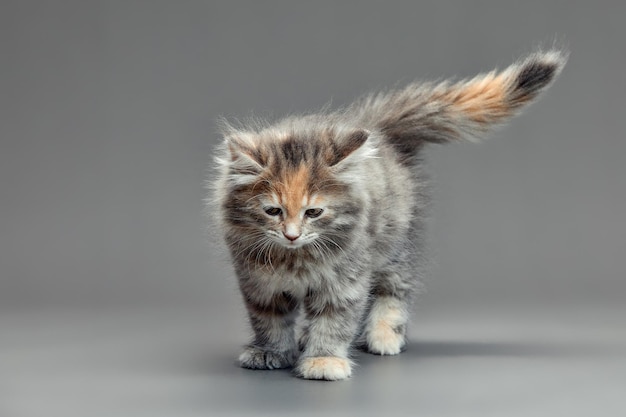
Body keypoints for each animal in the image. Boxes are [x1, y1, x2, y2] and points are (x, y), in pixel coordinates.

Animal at [210, 49, 564, 380]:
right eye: (273, 211)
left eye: (313, 212)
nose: (292, 234)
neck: (295, 259)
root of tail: (376, 128)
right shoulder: (258, 283)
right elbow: (269, 320)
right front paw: (270, 352)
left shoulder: (345, 279)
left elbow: (335, 320)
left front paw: (324, 360)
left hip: (394, 246)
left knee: (394, 290)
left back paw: (384, 336)